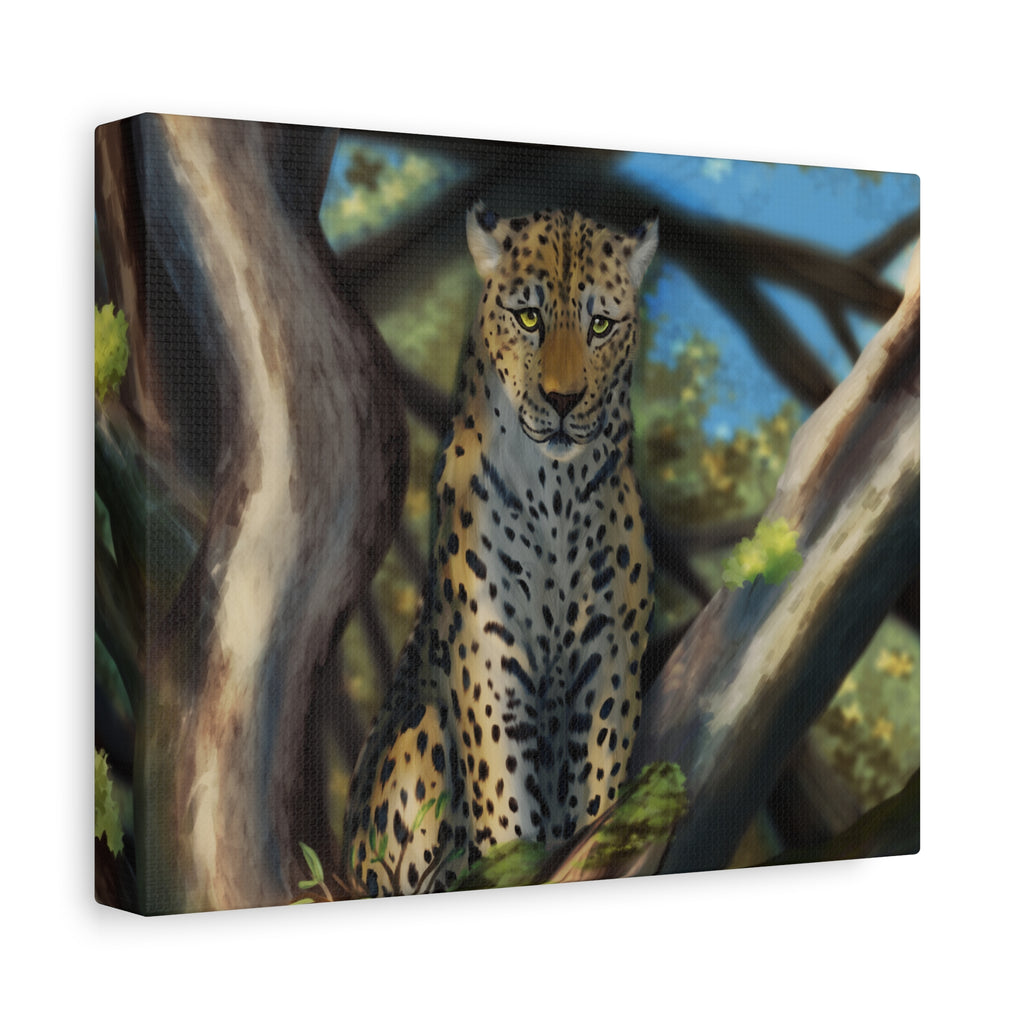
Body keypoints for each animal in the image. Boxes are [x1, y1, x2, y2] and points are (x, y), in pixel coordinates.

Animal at [341, 203, 658, 897]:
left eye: (600, 324)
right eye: (529, 317)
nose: (564, 400)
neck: (556, 491)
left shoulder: (611, 651)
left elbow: (599, 782)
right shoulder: (489, 654)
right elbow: (506, 801)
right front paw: (520, 858)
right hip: (419, 736)